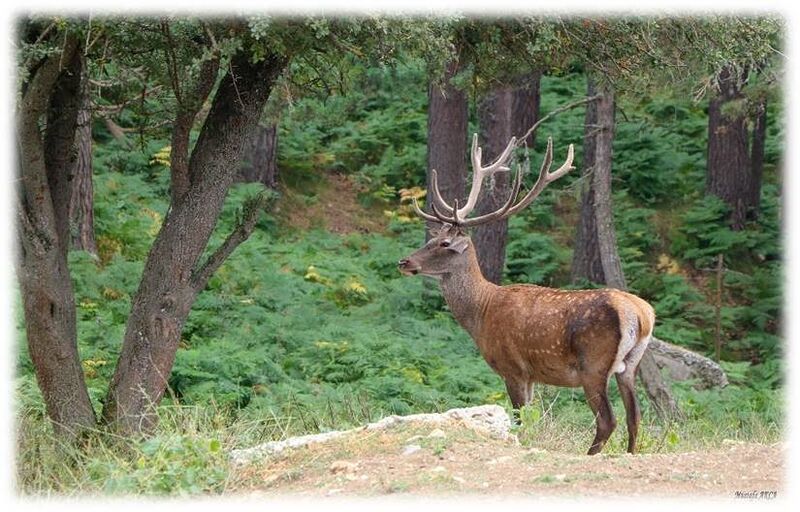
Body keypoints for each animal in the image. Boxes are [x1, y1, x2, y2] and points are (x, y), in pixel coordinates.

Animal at [396, 134, 652, 454]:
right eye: (433, 238)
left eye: (443, 244)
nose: (404, 262)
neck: (481, 313)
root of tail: (640, 315)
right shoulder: (532, 375)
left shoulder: (513, 368)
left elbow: (519, 421)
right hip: (630, 366)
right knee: (635, 417)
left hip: (593, 364)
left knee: (608, 420)